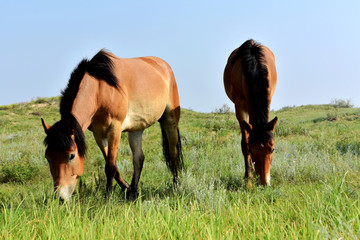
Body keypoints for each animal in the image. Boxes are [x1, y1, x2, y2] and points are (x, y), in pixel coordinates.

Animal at [41, 49, 183, 202]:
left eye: (71, 156)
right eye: (47, 157)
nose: (60, 197)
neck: (100, 89)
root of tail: (163, 65)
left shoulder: (115, 129)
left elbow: (110, 167)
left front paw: (108, 197)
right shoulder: (98, 134)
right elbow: (112, 165)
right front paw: (127, 189)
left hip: (170, 121)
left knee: (173, 154)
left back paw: (176, 186)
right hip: (136, 129)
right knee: (138, 159)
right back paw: (134, 192)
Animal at [224, 39, 278, 186]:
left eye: (272, 149)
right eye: (253, 150)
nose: (264, 182)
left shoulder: (268, 99)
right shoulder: (240, 107)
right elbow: (245, 143)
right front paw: (247, 176)